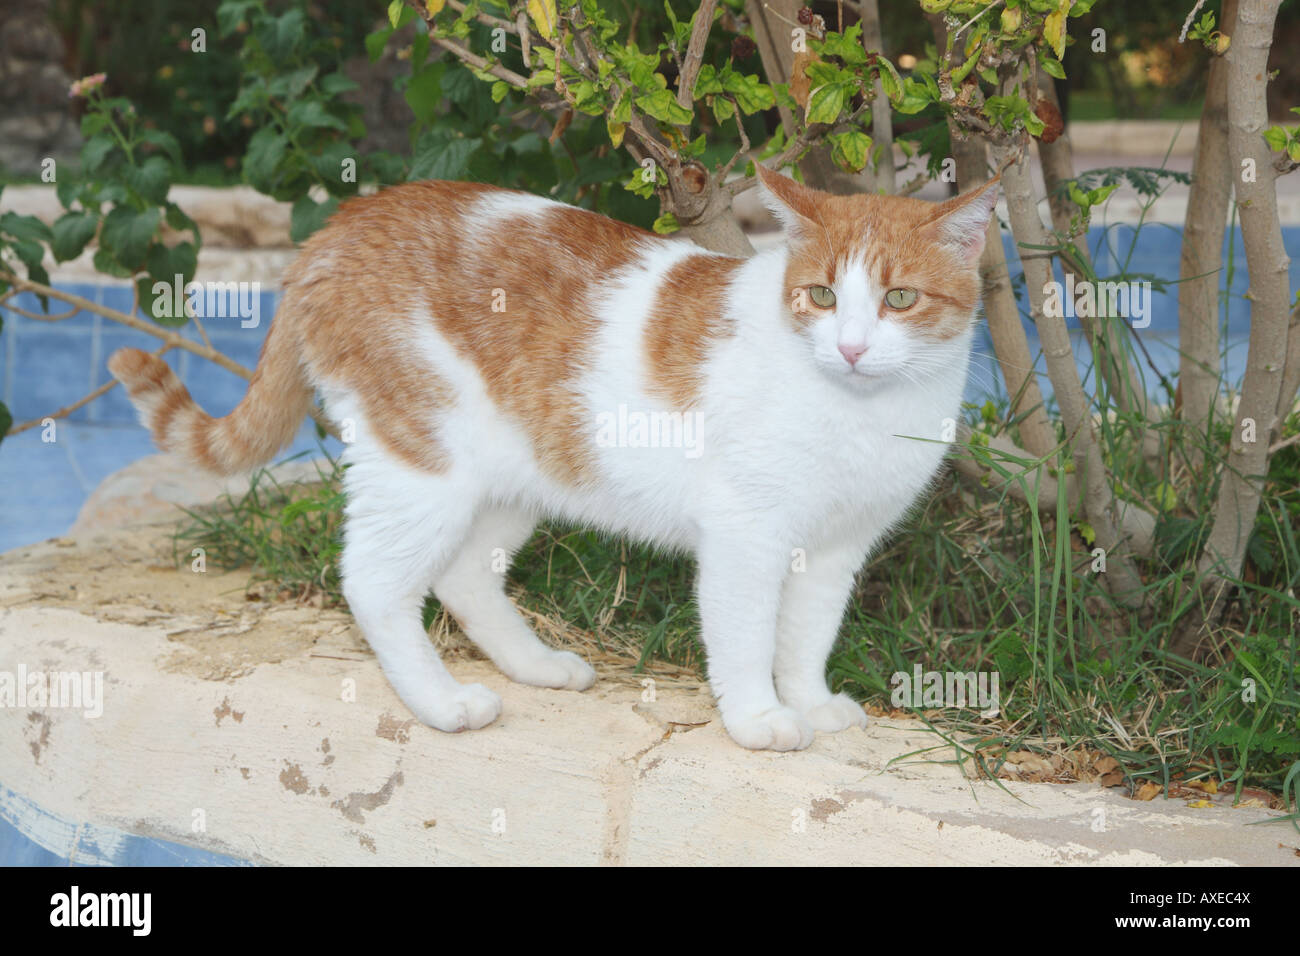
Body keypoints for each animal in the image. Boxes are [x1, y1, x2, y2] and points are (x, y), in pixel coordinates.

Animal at [111, 170, 998, 754]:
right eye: (820, 296)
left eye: (899, 300)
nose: (850, 347)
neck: (862, 410)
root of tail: (344, 223)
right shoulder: (747, 535)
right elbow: (748, 636)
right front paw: (758, 718)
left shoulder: (837, 548)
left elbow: (807, 636)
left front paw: (809, 702)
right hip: (421, 464)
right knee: (374, 584)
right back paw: (441, 703)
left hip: (517, 477)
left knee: (463, 578)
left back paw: (534, 664)